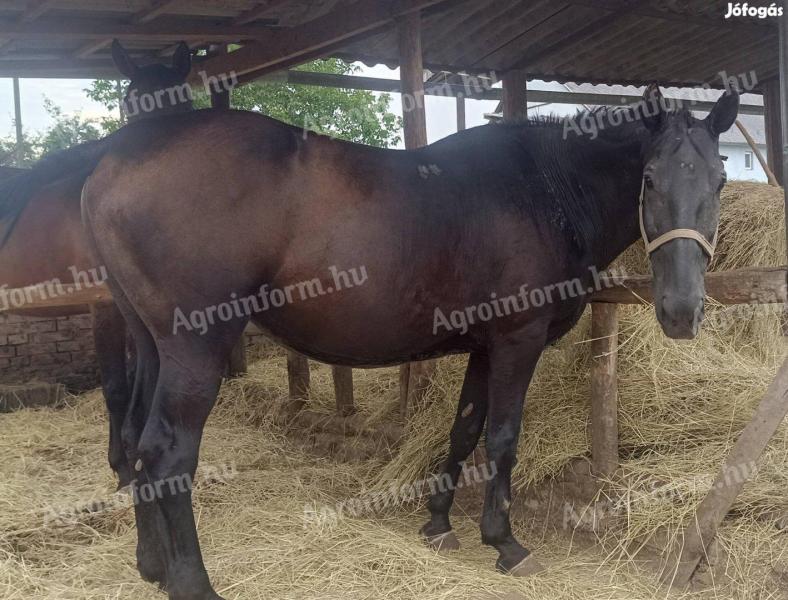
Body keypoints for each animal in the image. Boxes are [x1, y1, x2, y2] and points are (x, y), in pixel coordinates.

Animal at [81, 85, 740, 600]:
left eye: (721, 178)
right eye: (649, 178)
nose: (681, 311)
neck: (544, 189)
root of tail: (111, 167)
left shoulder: (484, 347)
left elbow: (465, 430)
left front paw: (439, 524)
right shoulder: (517, 341)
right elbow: (502, 440)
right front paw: (505, 543)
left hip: (151, 343)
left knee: (136, 441)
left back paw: (152, 566)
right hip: (195, 346)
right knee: (168, 453)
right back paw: (192, 582)